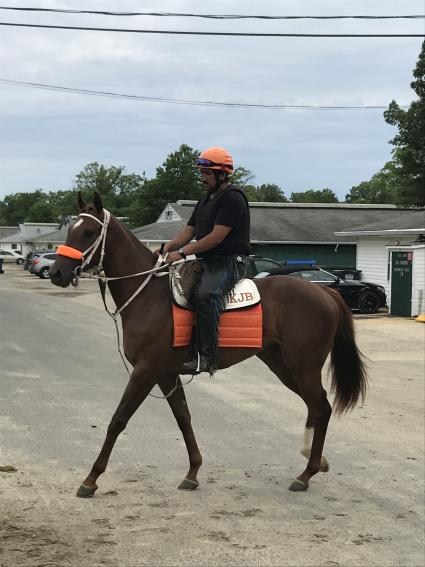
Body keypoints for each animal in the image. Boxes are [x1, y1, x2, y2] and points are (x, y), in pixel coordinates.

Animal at [49, 193, 366, 500]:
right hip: (282, 365)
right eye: (71, 229)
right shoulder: (166, 374)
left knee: (321, 407)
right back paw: (315, 462)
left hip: (304, 367)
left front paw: (91, 479)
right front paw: (193, 472)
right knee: (315, 406)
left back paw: (306, 473)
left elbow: (118, 420)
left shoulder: (145, 371)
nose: (57, 272)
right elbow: (183, 418)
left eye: (89, 232)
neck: (149, 296)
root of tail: (323, 290)